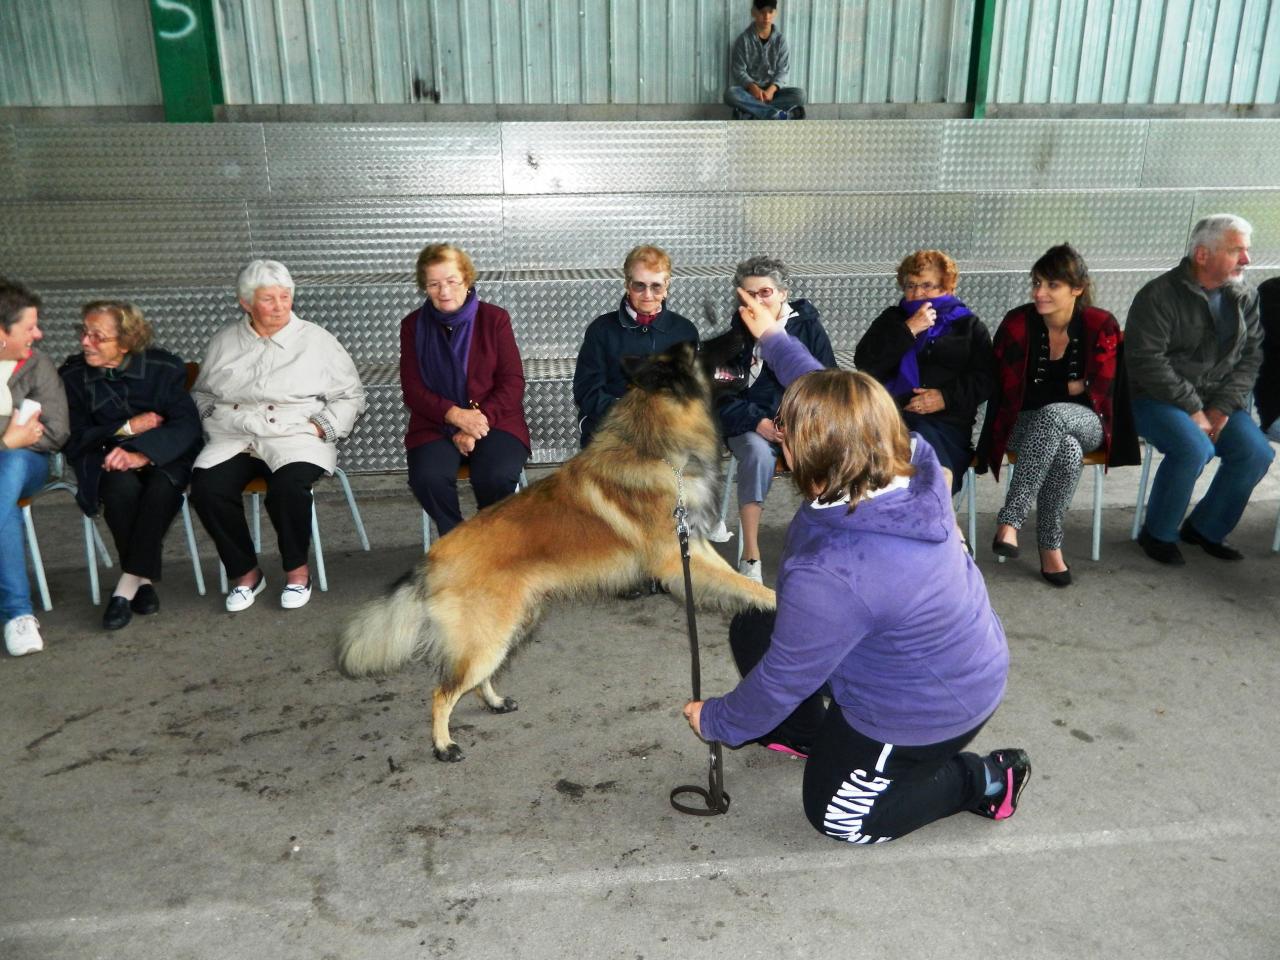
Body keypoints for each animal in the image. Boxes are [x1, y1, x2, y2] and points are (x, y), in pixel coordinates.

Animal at [337, 335, 768, 762]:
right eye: (700, 345)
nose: (744, 335)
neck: (657, 448)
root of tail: (432, 560)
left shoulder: (693, 547)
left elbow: (740, 581)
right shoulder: (678, 559)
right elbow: (744, 585)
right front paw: (775, 603)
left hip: (509, 626)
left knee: (476, 679)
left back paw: (494, 702)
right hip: (487, 636)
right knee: (443, 692)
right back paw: (444, 744)